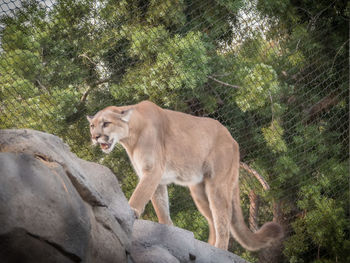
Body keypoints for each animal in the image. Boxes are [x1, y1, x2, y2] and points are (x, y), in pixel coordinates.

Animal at [88, 100, 284, 252]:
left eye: (106, 123)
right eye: (92, 125)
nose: (95, 137)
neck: (131, 136)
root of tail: (233, 140)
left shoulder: (152, 171)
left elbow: (140, 194)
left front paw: (130, 212)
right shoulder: (157, 178)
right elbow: (161, 206)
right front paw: (167, 230)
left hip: (217, 186)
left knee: (223, 220)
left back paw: (219, 250)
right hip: (199, 191)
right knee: (213, 220)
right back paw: (207, 247)